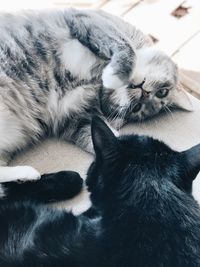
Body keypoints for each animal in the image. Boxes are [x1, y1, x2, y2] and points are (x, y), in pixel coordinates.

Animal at [0, 8, 192, 184]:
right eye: (162, 92)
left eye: (137, 108)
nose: (144, 93)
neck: (96, 82)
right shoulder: (91, 21)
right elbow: (125, 48)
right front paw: (114, 75)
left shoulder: (75, 118)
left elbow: (103, 138)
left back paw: (27, 174)